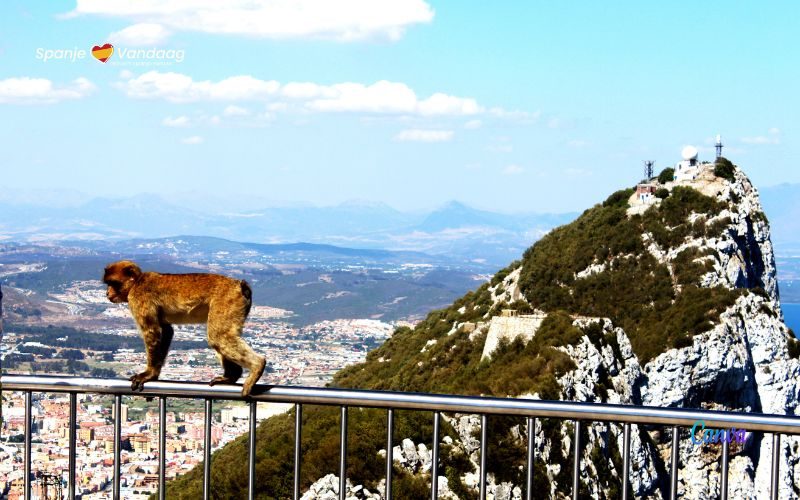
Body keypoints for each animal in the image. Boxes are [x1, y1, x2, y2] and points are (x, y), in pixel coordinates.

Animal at [101, 262, 266, 398]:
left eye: (113, 283)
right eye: (108, 284)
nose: (107, 293)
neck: (137, 282)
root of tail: (240, 285)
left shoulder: (138, 298)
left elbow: (152, 331)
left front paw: (149, 374)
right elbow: (167, 331)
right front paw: (155, 375)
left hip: (227, 302)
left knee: (218, 336)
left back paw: (258, 365)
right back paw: (231, 377)